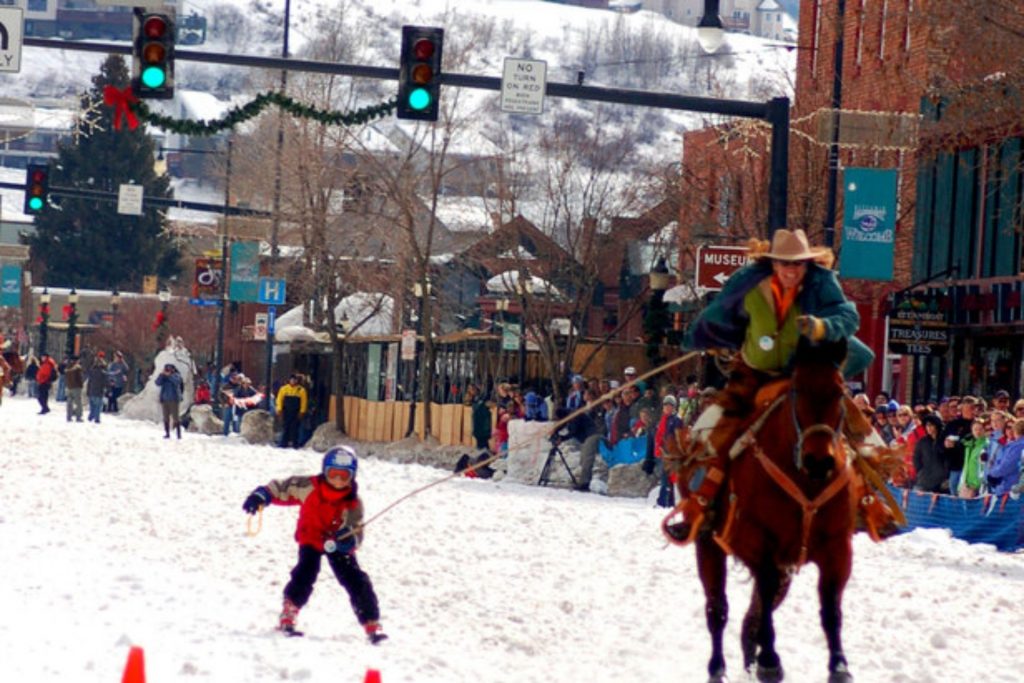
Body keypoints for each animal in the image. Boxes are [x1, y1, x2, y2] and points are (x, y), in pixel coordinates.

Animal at [696, 339, 856, 683]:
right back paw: (718, 667)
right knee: (718, 609)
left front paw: (839, 665)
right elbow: (765, 597)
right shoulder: (758, 541)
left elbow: (830, 605)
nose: (819, 461)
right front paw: (769, 659)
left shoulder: (837, 547)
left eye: (839, 391)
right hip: (709, 547)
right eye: (797, 389)